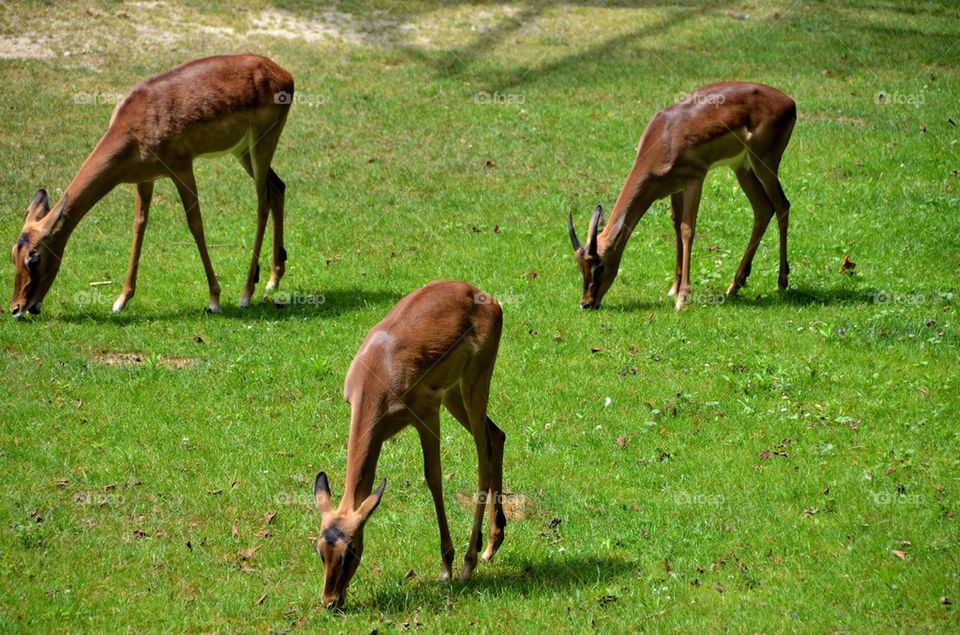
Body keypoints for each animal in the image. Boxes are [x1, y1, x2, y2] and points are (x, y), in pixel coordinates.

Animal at [9, 54, 294, 318]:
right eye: (13, 253)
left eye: (34, 257)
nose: (17, 308)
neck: (137, 122)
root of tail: (283, 73)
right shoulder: (145, 179)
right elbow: (139, 226)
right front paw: (121, 300)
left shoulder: (182, 168)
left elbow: (195, 225)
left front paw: (214, 299)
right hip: (242, 151)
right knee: (278, 188)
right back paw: (272, 280)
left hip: (261, 145)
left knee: (262, 204)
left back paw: (247, 293)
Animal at [313, 280, 506, 610]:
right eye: (319, 549)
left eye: (351, 550)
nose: (330, 601)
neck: (379, 370)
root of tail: (482, 296)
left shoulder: (426, 413)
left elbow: (433, 478)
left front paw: (446, 566)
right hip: (454, 393)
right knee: (497, 436)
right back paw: (493, 544)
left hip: (474, 383)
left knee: (484, 456)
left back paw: (470, 561)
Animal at [568, 82, 796, 311]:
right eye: (580, 267)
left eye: (599, 266)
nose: (586, 303)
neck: (664, 138)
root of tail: (789, 102)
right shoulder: (674, 188)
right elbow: (676, 227)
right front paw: (674, 288)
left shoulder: (694, 180)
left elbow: (687, 230)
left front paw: (682, 298)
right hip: (742, 167)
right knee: (763, 208)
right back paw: (734, 286)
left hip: (765, 162)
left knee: (782, 205)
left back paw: (781, 284)